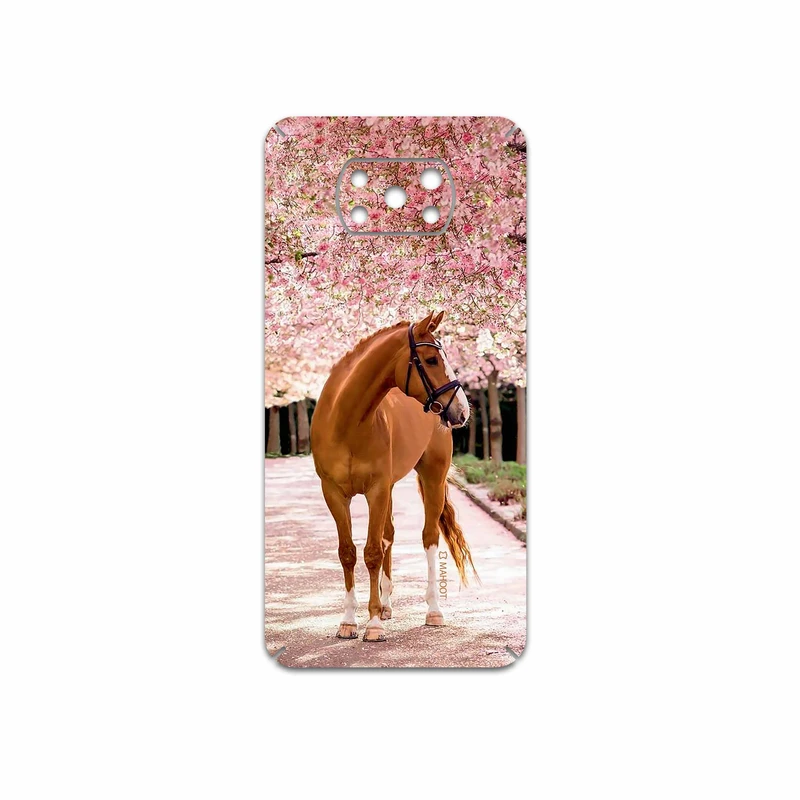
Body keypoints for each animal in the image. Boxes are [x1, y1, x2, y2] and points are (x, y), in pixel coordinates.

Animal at [310, 310, 477, 642]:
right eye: (431, 359)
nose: (462, 411)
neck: (346, 422)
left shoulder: (376, 490)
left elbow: (372, 552)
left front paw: (372, 625)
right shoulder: (334, 493)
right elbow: (348, 552)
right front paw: (349, 621)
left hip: (432, 477)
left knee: (428, 537)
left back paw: (433, 611)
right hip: (388, 488)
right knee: (389, 535)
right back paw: (386, 605)